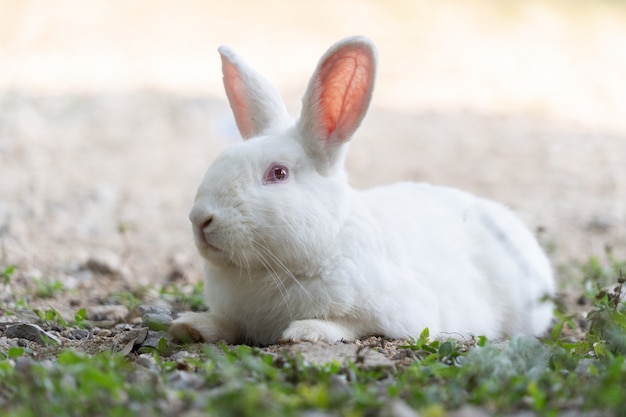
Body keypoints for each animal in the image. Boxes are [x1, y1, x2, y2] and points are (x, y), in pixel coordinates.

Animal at [168, 35, 552, 344]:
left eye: (278, 173)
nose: (200, 219)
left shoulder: (400, 313)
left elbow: (350, 324)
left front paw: (305, 332)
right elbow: (227, 324)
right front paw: (191, 326)